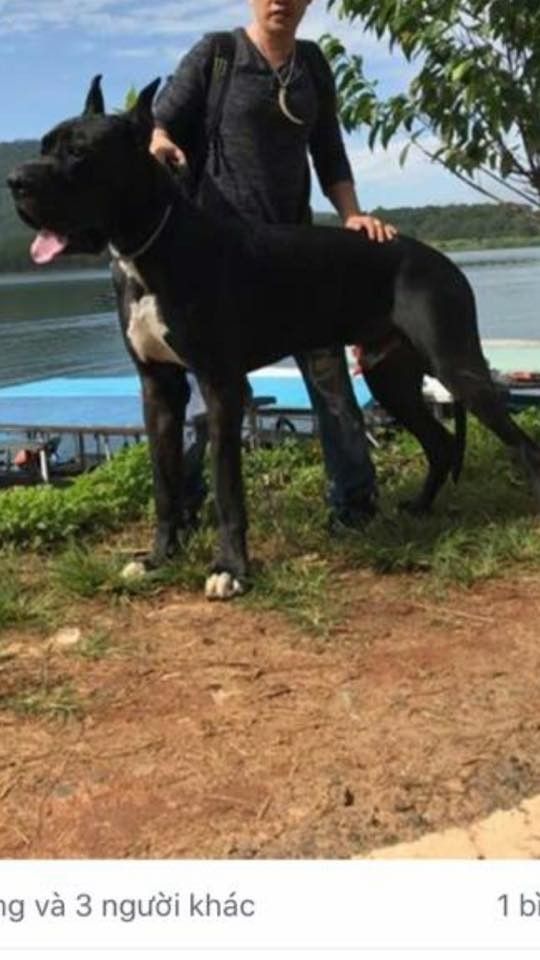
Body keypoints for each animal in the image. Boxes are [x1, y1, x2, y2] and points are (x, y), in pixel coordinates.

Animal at [7, 77, 540, 599]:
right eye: (45, 145)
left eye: (79, 152)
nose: (14, 181)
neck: (150, 247)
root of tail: (445, 261)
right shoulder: (159, 388)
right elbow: (165, 484)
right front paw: (158, 558)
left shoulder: (220, 386)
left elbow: (226, 488)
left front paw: (230, 568)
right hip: (391, 377)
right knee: (441, 442)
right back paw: (421, 508)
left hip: (455, 362)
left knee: (520, 444)